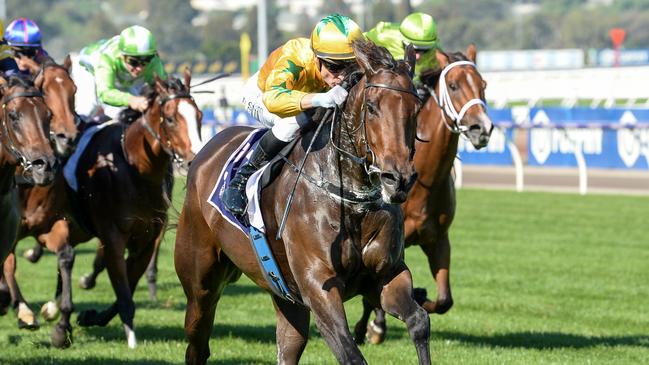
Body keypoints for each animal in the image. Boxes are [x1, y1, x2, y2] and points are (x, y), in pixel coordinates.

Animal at [175, 39, 432, 364]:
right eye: (372, 107)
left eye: (416, 108)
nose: (397, 179)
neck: (350, 201)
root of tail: (205, 152)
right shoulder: (318, 287)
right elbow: (351, 353)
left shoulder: (385, 276)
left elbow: (419, 321)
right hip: (200, 284)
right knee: (197, 343)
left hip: (285, 295)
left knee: (287, 347)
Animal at [352, 44, 494, 342]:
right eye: (453, 85)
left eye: (483, 84)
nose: (482, 128)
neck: (425, 180)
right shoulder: (389, 244)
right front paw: (373, 327)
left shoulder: (438, 238)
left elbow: (444, 300)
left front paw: (419, 295)